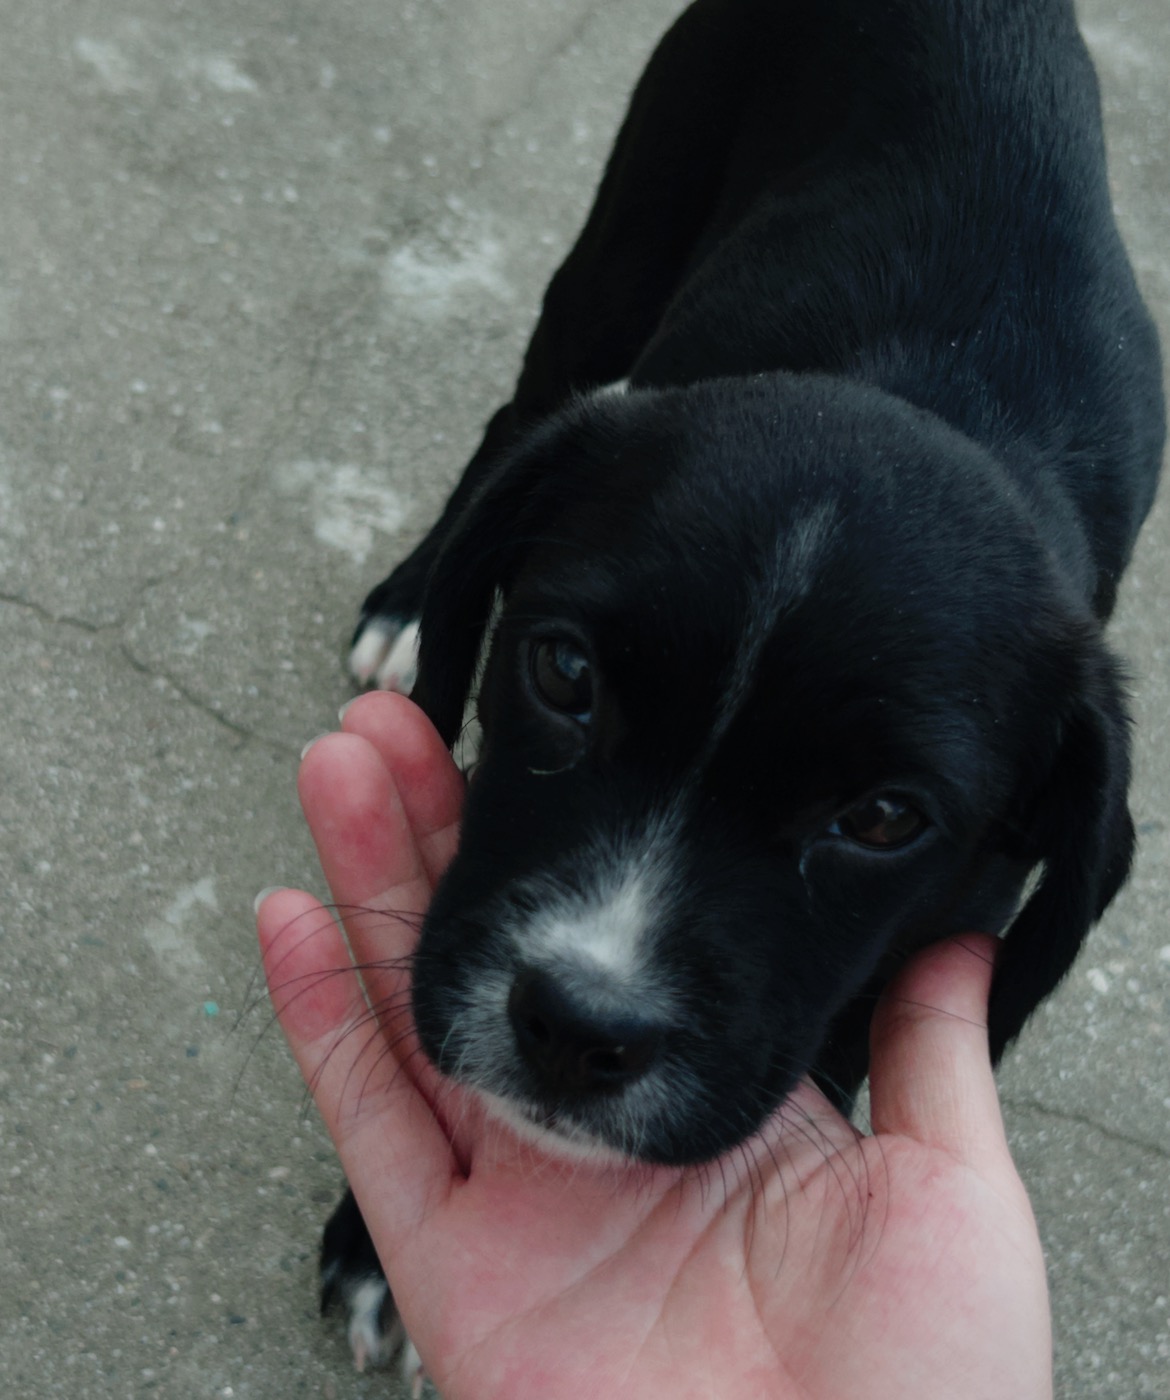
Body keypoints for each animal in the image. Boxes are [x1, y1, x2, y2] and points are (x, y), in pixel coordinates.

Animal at [317, 0, 1158, 1372]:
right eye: (562, 670)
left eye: (884, 817)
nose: (577, 1026)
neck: (930, 390)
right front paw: (378, 1247)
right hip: (628, 231)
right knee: (518, 420)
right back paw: (410, 604)